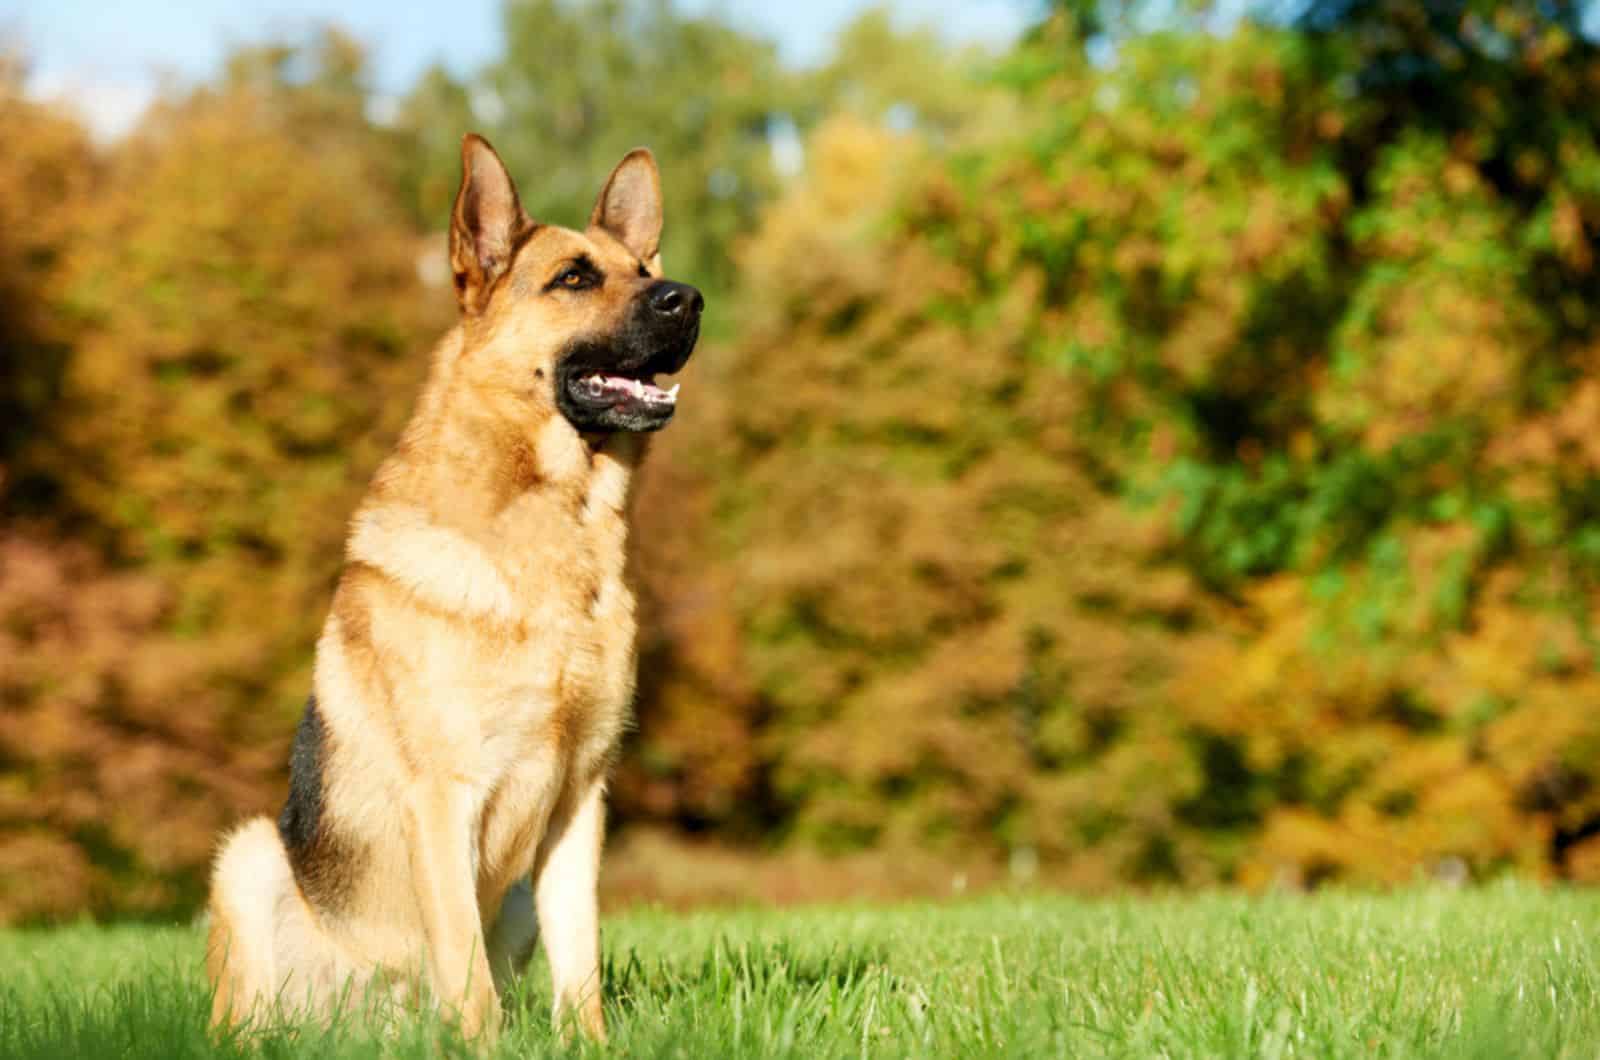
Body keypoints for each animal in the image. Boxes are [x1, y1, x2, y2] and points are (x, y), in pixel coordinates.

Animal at [204, 135, 700, 1043]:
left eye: (645, 268)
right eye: (573, 278)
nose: (689, 298)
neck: (548, 528)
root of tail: (372, 1024)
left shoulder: (579, 805)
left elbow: (582, 966)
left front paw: (589, 1046)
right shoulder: (443, 797)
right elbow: (469, 980)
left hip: (516, 901)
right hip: (250, 855)